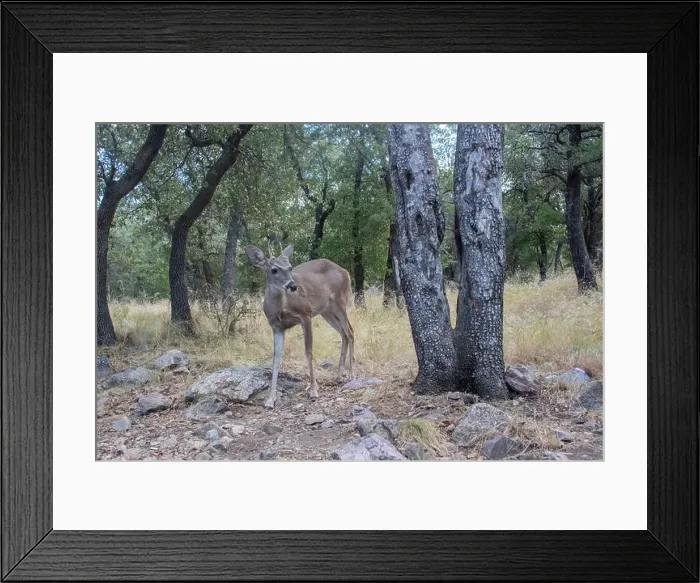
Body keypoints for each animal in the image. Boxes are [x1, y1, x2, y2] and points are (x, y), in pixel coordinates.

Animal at [245, 244, 355, 409]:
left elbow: (308, 351)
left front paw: (314, 390)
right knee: (343, 333)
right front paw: (270, 400)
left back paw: (351, 374)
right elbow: (276, 359)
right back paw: (340, 375)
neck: (281, 307)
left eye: (290, 267)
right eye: (274, 269)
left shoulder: (305, 315)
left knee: (350, 331)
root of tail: (345, 271)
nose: (293, 286)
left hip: (340, 301)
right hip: (326, 311)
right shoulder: (276, 327)